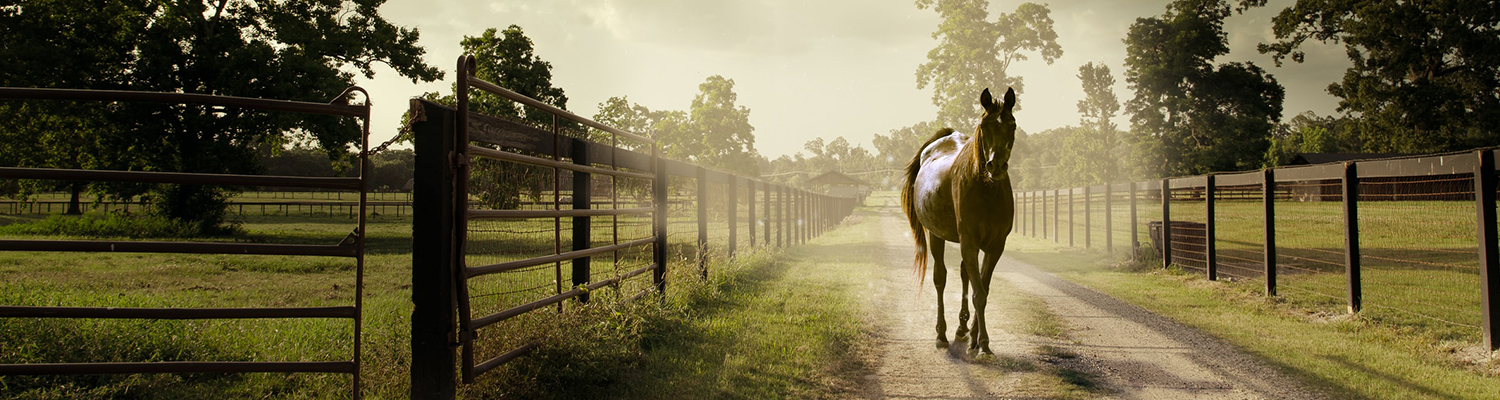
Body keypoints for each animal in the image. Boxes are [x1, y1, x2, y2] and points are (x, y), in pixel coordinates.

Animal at [900, 87, 1020, 355]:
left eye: (1013, 125)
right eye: (984, 126)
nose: (996, 166)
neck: (987, 190)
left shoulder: (995, 246)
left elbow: (982, 288)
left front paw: (975, 338)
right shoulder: (969, 242)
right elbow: (979, 293)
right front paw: (983, 344)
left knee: (965, 275)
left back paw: (962, 329)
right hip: (937, 236)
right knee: (940, 279)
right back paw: (941, 334)